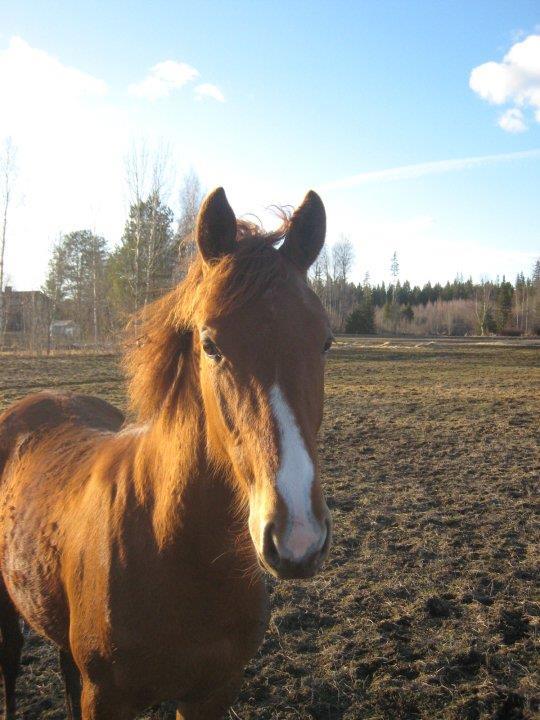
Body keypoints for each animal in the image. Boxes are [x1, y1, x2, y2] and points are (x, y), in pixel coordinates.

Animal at [0, 188, 334, 716]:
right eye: (210, 344)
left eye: (324, 341)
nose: (297, 539)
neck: (175, 548)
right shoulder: (107, 699)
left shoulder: (212, 693)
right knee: (10, 660)